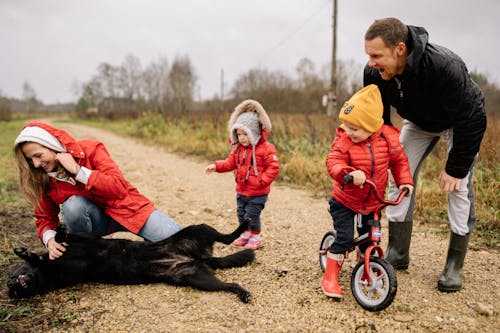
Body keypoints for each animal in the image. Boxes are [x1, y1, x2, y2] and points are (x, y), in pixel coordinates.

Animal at [8, 220, 254, 300]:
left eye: (10, 278)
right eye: (11, 292)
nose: (11, 284)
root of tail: (202, 258)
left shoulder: (88, 238)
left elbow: (63, 237)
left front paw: (28, 252)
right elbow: (40, 259)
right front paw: (29, 255)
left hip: (198, 230)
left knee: (227, 236)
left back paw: (245, 224)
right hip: (197, 278)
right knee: (229, 284)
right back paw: (243, 293)